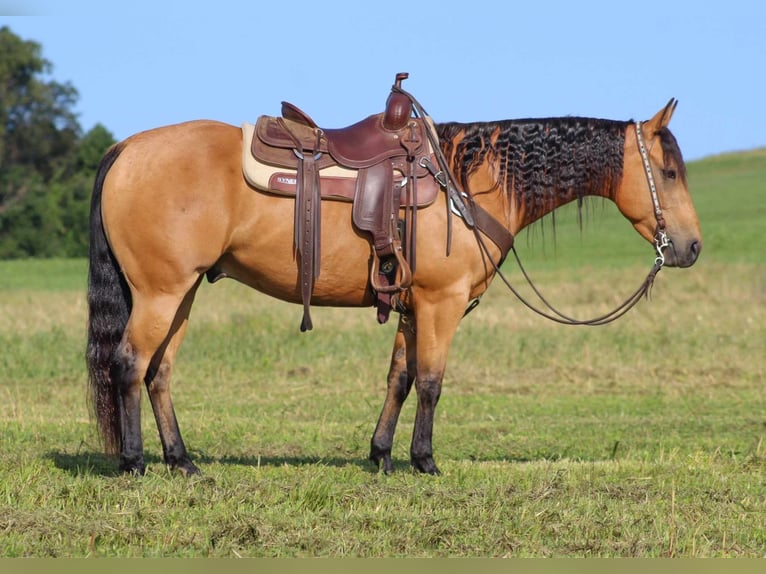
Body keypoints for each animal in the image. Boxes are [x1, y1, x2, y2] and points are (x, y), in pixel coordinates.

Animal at [87, 76, 704, 476]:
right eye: (670, 172)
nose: (692, 247)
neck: (468, 183)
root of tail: (126, 148)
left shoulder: (412, 305)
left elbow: (399, 380)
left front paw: (381, 455)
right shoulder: (441, 303)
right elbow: (431, 381)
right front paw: (424, 460)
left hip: (182, 293)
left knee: (160, 372)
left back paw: (182, 461)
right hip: (161, 293)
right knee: (130, 365)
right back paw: (135, 463)